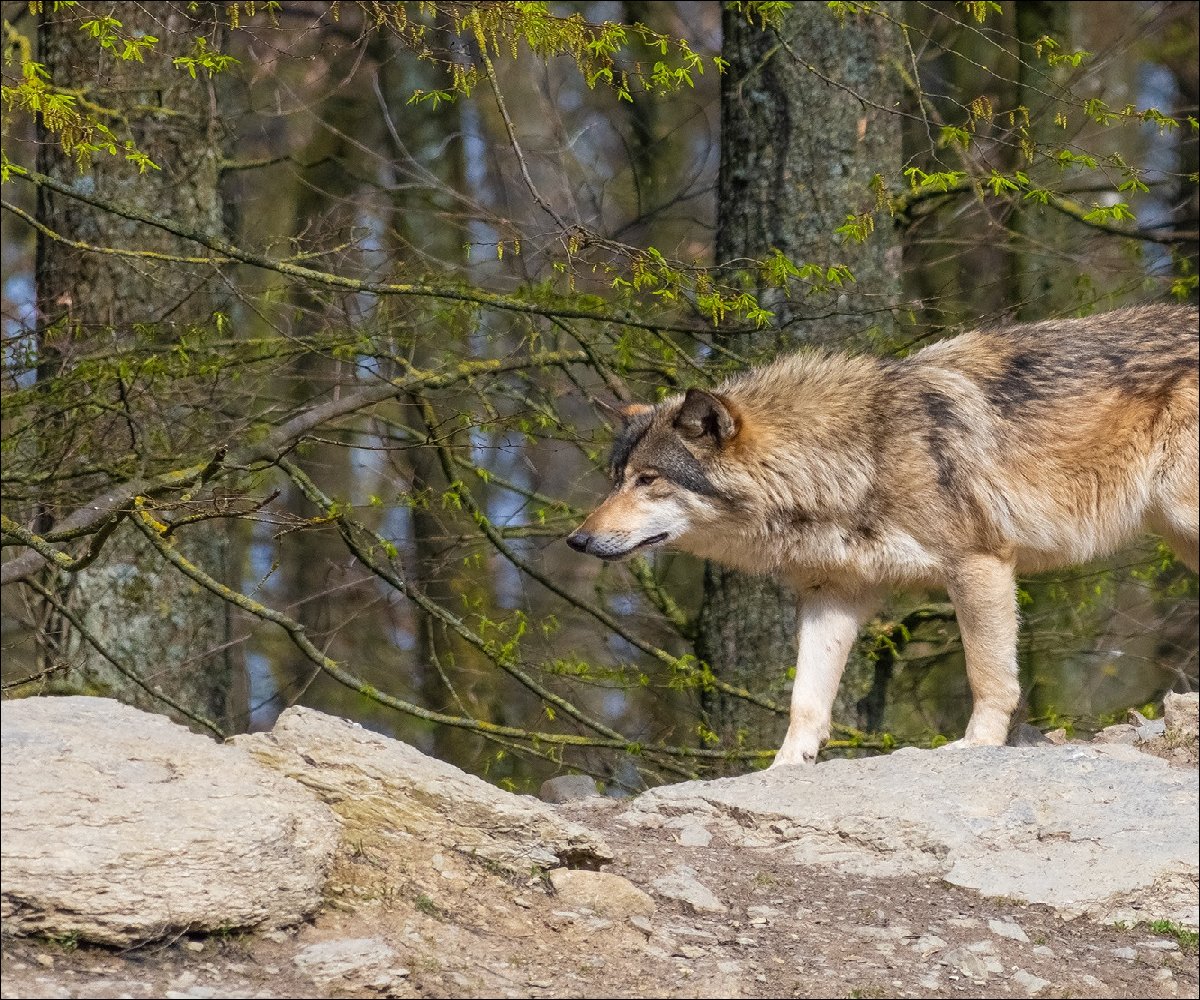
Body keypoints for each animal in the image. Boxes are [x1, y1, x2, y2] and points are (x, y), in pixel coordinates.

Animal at [568, 304, 1200, 763]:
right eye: (615, 479)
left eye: (649, 480)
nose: (577, 541)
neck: (855, 456)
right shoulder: (833, 595)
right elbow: (805, 701)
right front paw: (783, 770)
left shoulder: (980, 563)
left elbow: (989, 677)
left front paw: (976, 747)